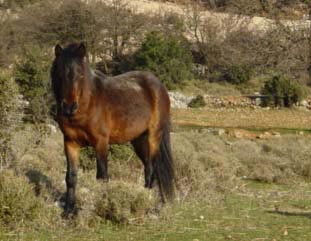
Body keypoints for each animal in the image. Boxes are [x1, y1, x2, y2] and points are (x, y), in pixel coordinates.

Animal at [50, 42, 174, 216]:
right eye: (59, 73)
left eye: (80, 74)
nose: (68, 107)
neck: (87, 105)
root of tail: (158, 85)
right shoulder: (70, 143)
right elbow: (71, 177)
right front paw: (68, 211)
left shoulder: (101, 143)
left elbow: (102, 177)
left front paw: (101, 209)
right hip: (139, 140)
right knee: (150, 169)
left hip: (154, 136)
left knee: (151, 169)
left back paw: (148, 205)